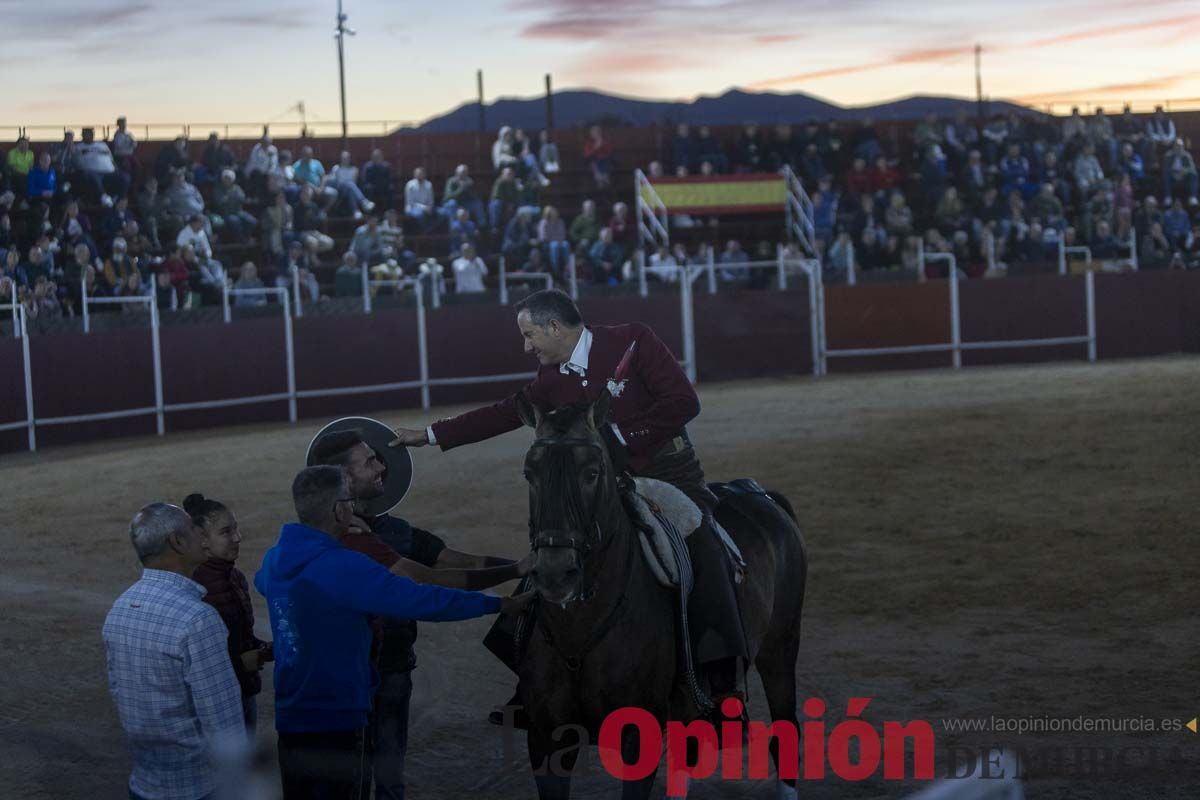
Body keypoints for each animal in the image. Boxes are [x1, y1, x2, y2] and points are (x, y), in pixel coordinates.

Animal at [513, 393, 806, 800]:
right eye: (530, 473)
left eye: (592, 472)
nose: (556, 573)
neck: (580, 630)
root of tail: (760, 493)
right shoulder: (546, 739)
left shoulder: (638, 738)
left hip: (780, 648)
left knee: (785, 731)